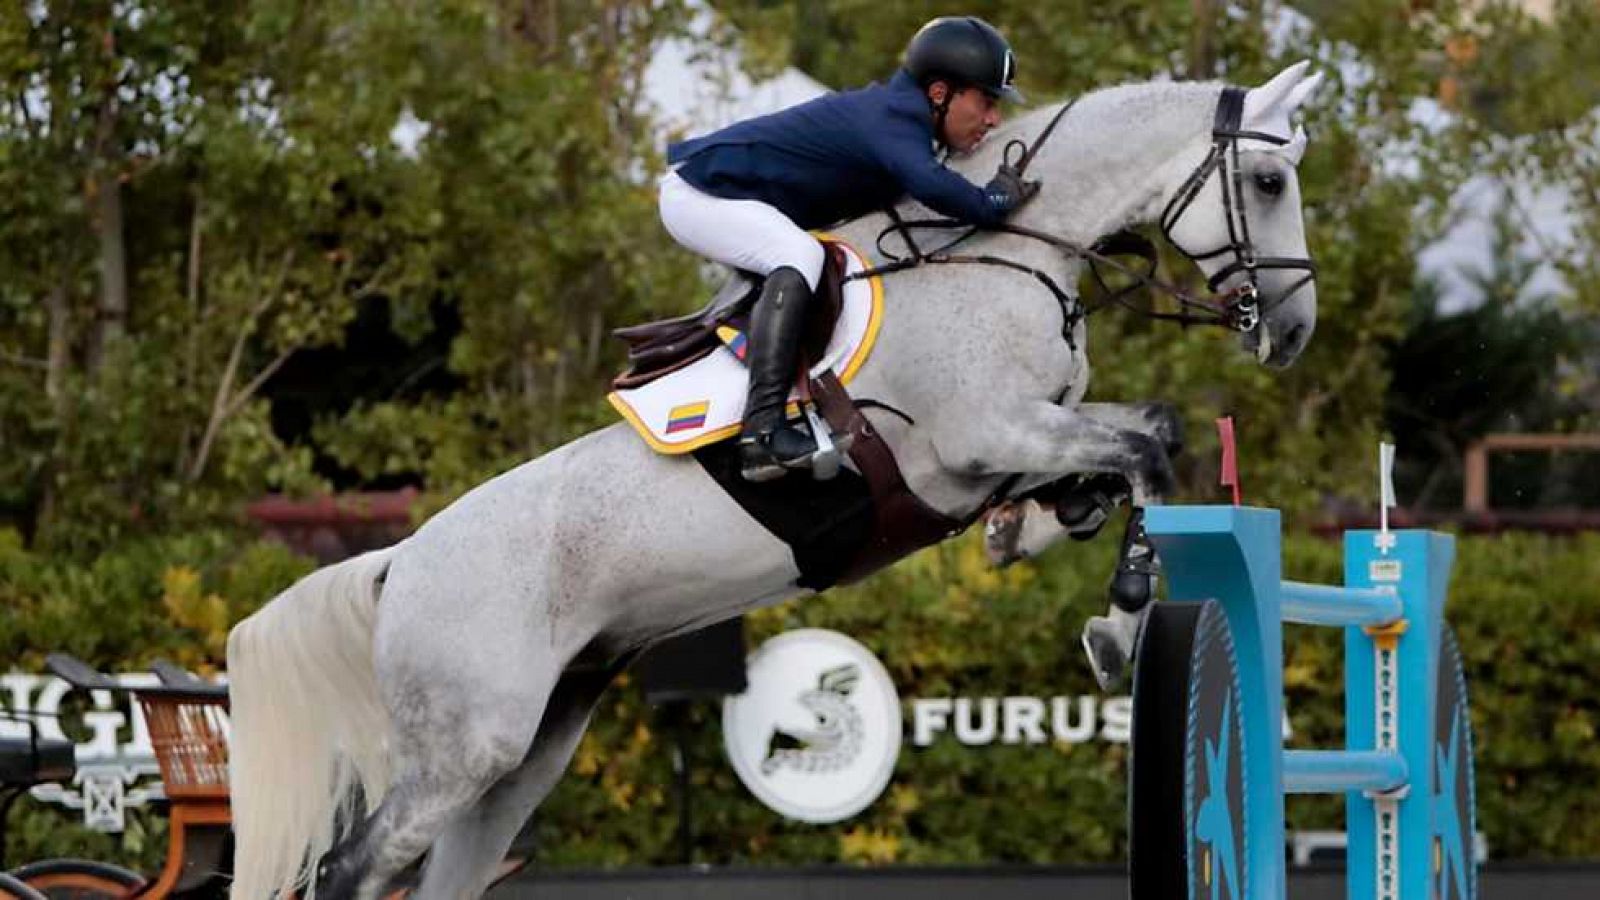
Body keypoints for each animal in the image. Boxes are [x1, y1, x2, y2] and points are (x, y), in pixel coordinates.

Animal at [225, 61, 1324, 896]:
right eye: (1271, 184)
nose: (1293, 331)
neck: (997, 253)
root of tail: (398, 561)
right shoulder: (984, 433)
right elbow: (1145, 454)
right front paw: (1117, 625)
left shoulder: (1017, 439)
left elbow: (1147, 433)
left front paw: (1044, 530)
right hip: (466, 749)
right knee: (348, 872)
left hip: (525, 753)